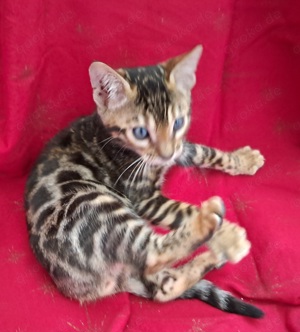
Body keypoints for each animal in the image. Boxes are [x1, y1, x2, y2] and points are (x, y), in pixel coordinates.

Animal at [25, 45, 264, 318]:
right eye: (140, 132)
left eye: (178, 123)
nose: (166, 154)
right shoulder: (143, 197)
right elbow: (183, 211)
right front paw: (223, 233)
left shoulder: (180, 148)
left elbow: (205, 151)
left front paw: (242, 159)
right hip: (93, 204)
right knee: (152, 255)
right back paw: (218, 230)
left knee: (163, 288)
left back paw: (215, 255)